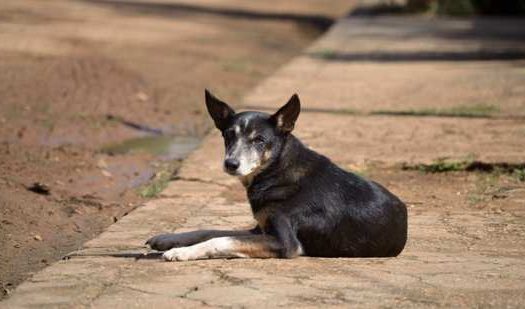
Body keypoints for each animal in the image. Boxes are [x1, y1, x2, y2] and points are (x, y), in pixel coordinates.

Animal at [145, 89, 408, 260]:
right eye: (228, 135)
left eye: (259, 140)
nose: (231, 164)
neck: (277, 171)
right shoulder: (259, 229)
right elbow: (209, 231)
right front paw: (167, 239)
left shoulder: (285, 243)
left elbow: (221, 240)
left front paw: (181, 252)